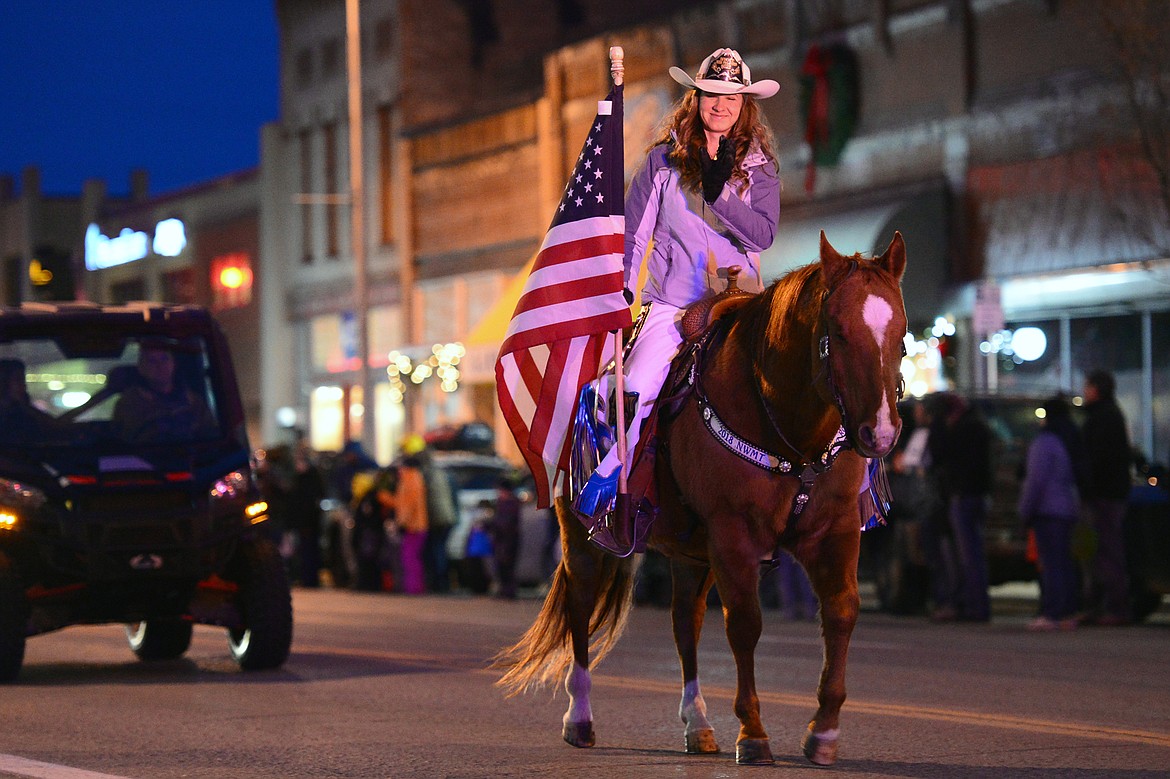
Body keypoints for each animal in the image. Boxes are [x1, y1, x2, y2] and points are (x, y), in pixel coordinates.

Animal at [491, 230, 903, 762]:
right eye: (840, 330)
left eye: (901, 333)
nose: (881, 433)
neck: (784, 422)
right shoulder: (733, 536)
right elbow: (745, 624)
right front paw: (753, 733)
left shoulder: (835, 532)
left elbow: (841, 612)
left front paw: (824, 731)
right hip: (581, 537)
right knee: (581, 608)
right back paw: (579, 718)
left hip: (690, 553)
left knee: (684, 623)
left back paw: (698, 723)